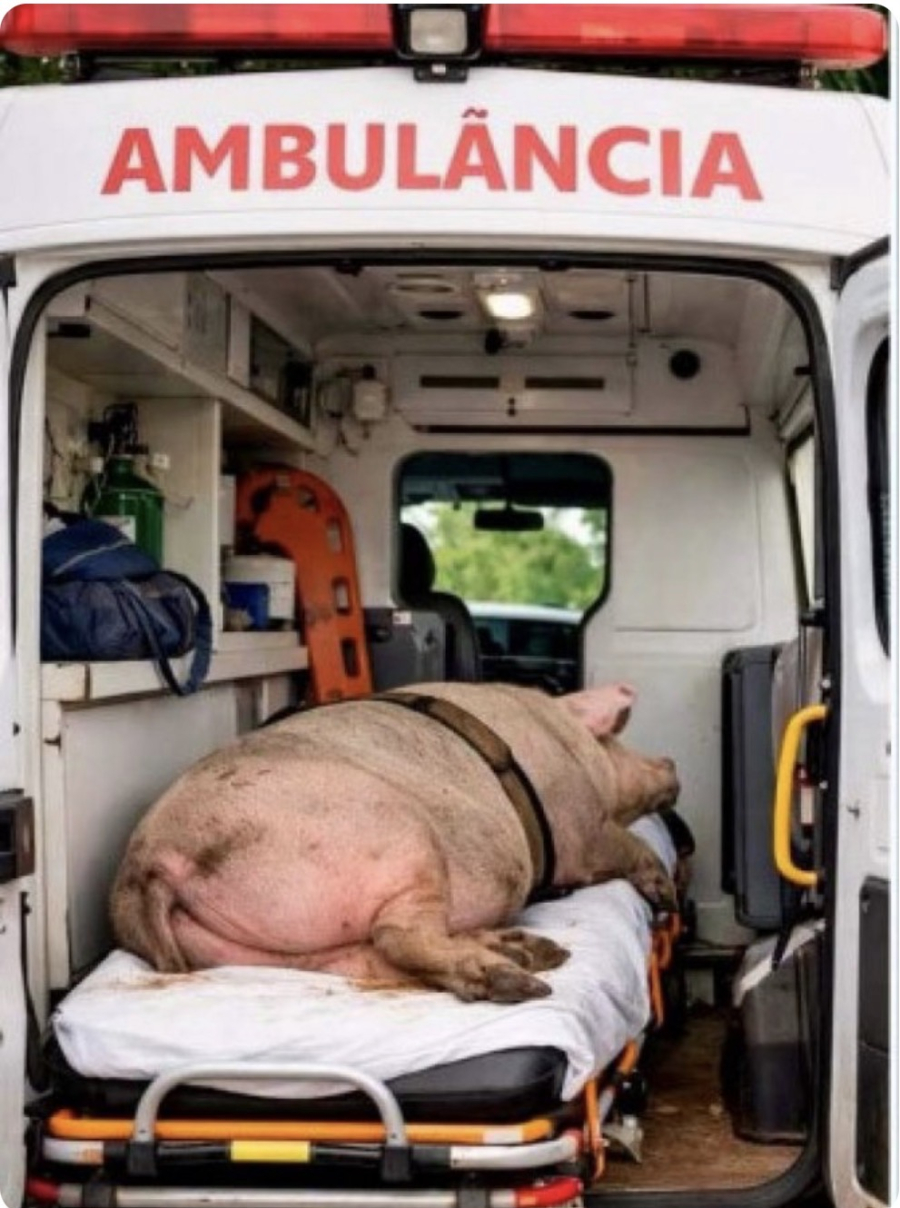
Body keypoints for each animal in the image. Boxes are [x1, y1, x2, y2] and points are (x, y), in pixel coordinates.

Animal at [111, 681, 679, 1004]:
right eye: (618, 739)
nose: (670, 764)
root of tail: (150, 860)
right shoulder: (576, 825)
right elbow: (619, 843)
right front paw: (665, 894)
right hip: (403, 839)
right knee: (398, 937)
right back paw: (521, 978)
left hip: (266, 954)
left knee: (370, 961)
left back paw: (530, 953)